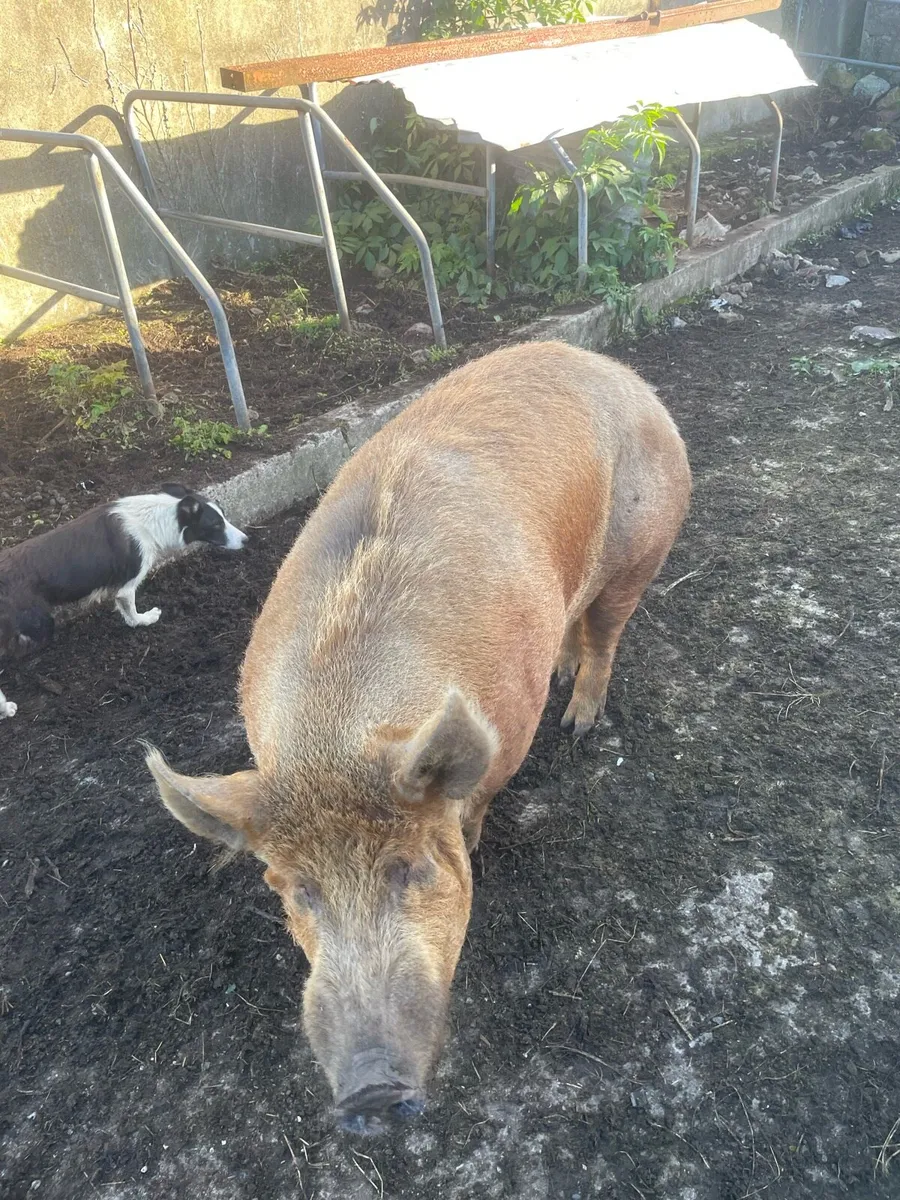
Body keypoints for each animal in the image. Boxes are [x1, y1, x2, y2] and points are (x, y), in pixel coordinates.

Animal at [144, 340, 691, 1132]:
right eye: (297, 889)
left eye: (408, 868)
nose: (370, 1089)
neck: (334, 736)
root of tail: (617, 371)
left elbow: (484, 800)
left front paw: (478, 838)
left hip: (643, 544)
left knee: (608, 632)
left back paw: (578, 721)